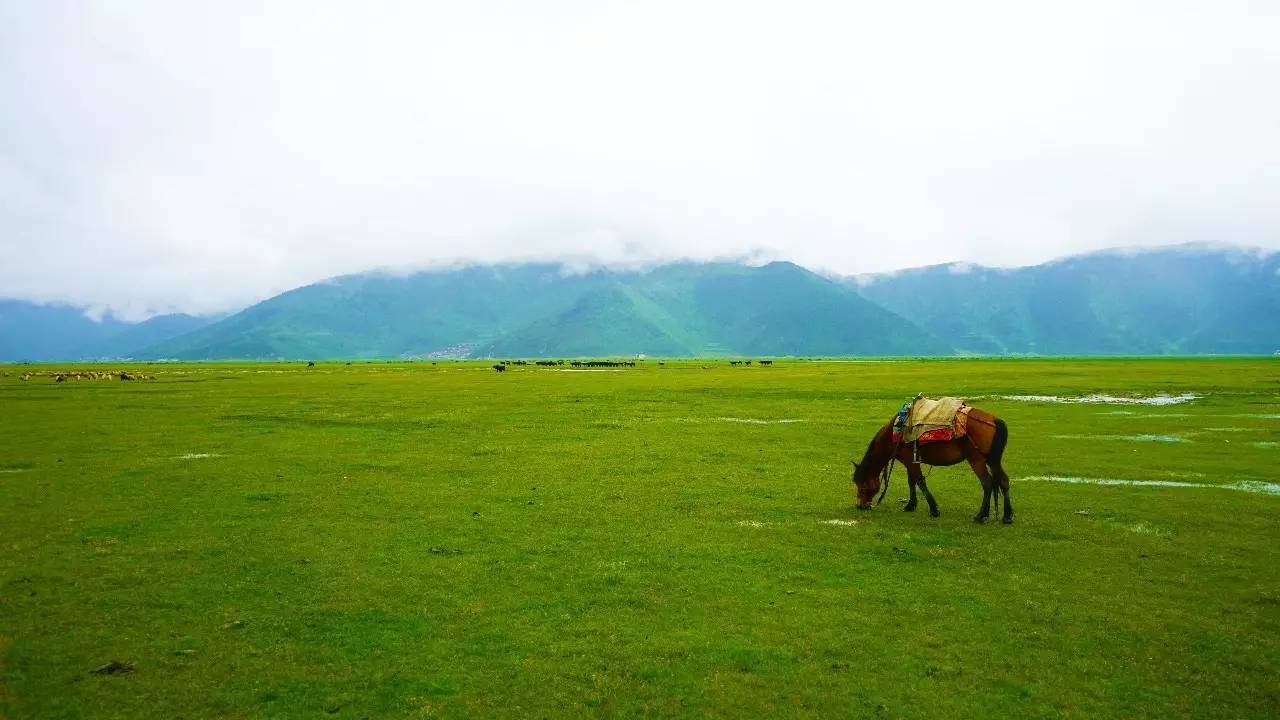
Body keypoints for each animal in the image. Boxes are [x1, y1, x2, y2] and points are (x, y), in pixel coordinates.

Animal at [849, 404, 1008, 520]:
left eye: (863, 486)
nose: (860, 506)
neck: (894, 435)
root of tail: (994, 420)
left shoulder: (910, 460)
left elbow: (920, 482)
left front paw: (933, 509)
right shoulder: (910, 462)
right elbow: (911, 482)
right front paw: (911, 505)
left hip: (976, 459)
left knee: (987, 483)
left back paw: (981, 516)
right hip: (993, 460)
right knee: (1003, 480)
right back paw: (1007, 516)